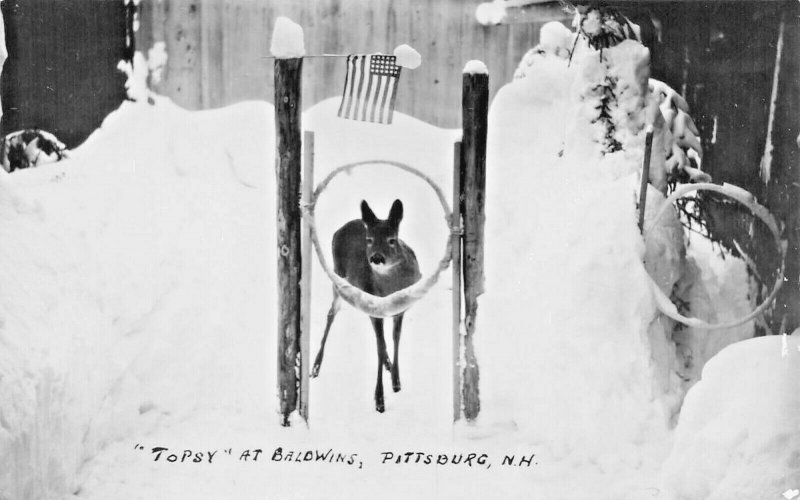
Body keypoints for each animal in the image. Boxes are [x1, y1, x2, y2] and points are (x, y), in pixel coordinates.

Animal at [310, 199, 422, 414]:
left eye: (391, 240)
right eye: (369, 240)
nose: (376, 258)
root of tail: (340, 229)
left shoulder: (399, 310)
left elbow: (395, 339)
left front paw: (396, 381)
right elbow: (379, 346)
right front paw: (379, 399)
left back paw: (388, 364)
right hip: (339, 280)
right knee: (331, 314)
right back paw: (315, 366)